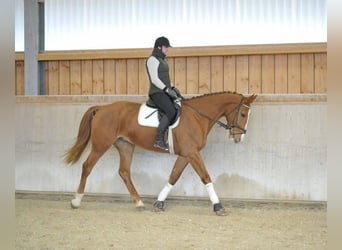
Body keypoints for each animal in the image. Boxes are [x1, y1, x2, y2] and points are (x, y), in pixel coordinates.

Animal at [64, 91, 256, 216]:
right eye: (243, 114)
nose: (239, 138)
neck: (197, 116)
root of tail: (102, 108)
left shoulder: (186, 154)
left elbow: (173, 176)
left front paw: (159, 203)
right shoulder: (192, 153)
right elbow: (205, 177)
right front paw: (218, 206)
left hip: (126, 146)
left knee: (124, 172)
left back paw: (139, 203)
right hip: (101, 145)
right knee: (87, 166)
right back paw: (76, 201)